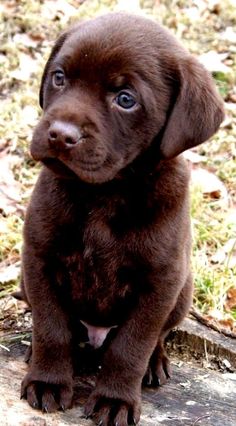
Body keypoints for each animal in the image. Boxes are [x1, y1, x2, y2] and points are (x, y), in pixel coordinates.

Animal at [19, 12, 223, 426]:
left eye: (125, 99)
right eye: (59, 77)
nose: (59, 134)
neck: (105, 193)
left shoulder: (160, 282)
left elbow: (132, 345)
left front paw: (116, 400)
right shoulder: (39, 259)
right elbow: (51, 327)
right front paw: (48, 380)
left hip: (183, 292)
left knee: (155, 337)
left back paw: (154, 364)